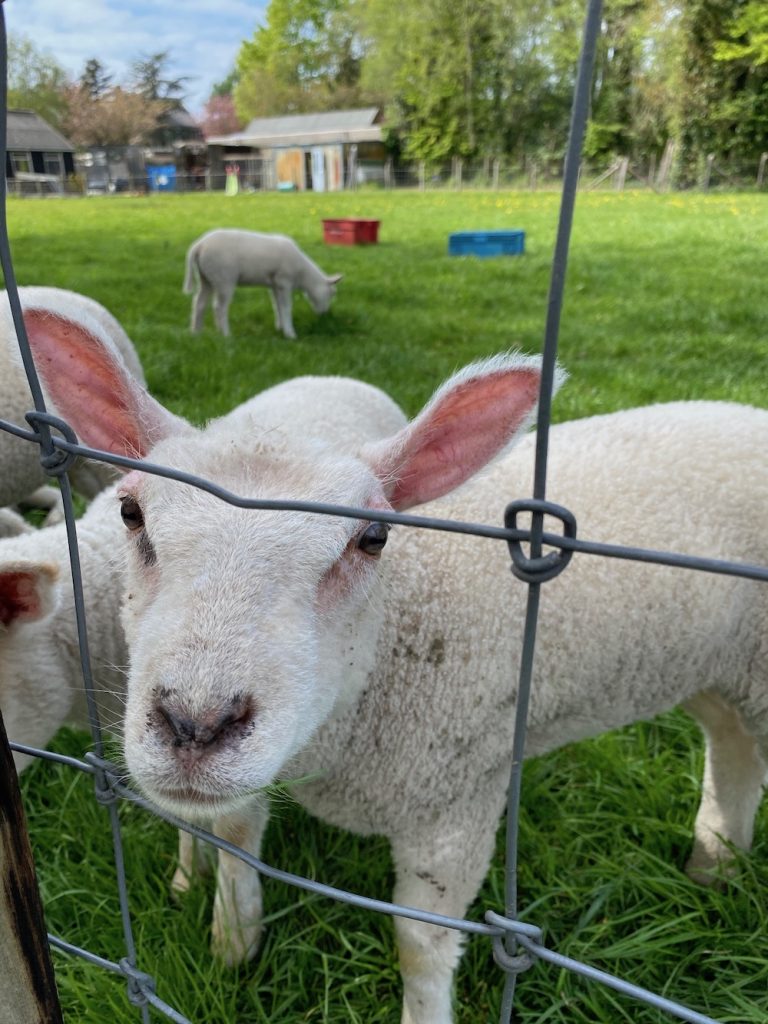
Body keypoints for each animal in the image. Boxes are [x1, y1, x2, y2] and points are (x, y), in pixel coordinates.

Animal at [24, 319, 768, 1024]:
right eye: (130, 512)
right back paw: (714, 862)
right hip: (718, 670)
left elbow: (420, 945)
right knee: (733, 746)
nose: (195, 725)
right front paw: (232, 949)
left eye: (372, 538)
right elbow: (234, 840)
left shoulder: (456, 799)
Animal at [182, 228, 342, 339]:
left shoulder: (274, 285)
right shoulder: (284, 281)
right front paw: (290, 334)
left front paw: (280, 327)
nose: (325, 315)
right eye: (332, 293)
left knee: (199, 303)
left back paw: (196, 332)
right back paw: (226, 334)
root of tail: (199, 245)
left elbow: (277, 306)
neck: (302, 274)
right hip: (224, 278)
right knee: (219, 307)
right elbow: (286, 307)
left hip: (206, 277)